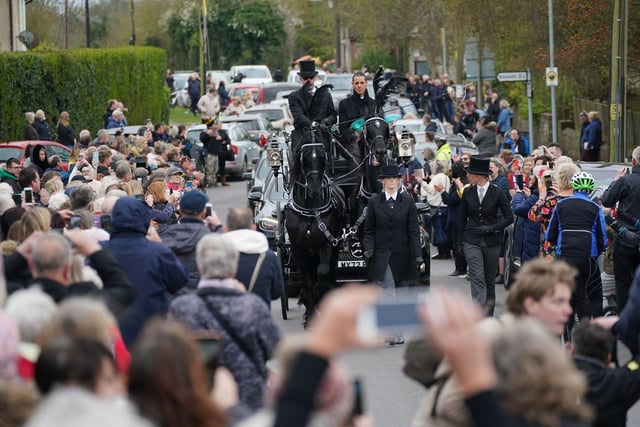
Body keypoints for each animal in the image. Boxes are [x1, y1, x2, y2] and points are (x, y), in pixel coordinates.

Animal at [284, 135, 344, 326]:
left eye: (323, 159)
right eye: (305, 160)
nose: (316, 190)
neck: (311, 211)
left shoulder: (327, 243)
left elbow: (322, 272)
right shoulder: (298, 248)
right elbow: (307, 279)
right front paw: (310, 314)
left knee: (329, 270)